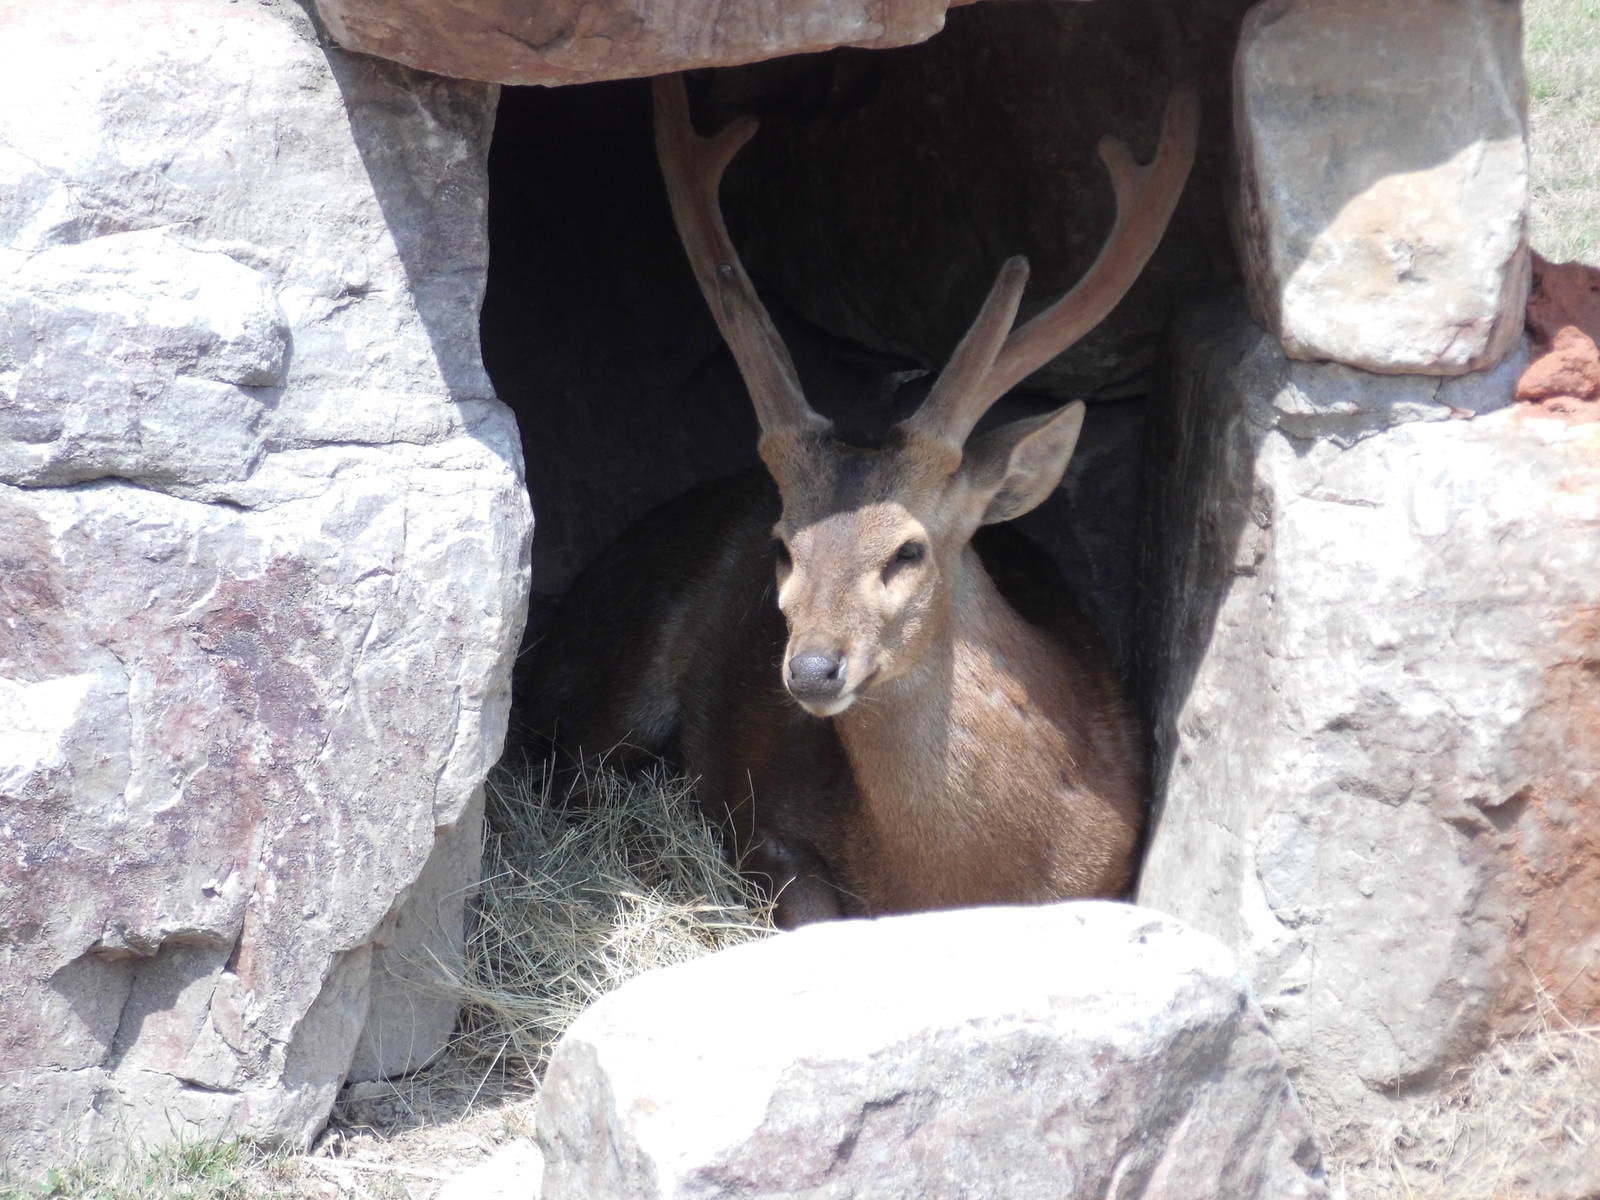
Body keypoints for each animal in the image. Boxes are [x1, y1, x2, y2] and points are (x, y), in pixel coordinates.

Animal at [527, 73, 1198, 928]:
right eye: (784, 545)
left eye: (908, 549)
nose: (812, 670)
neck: (959, 880)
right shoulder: (769, 821)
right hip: (619, 660)